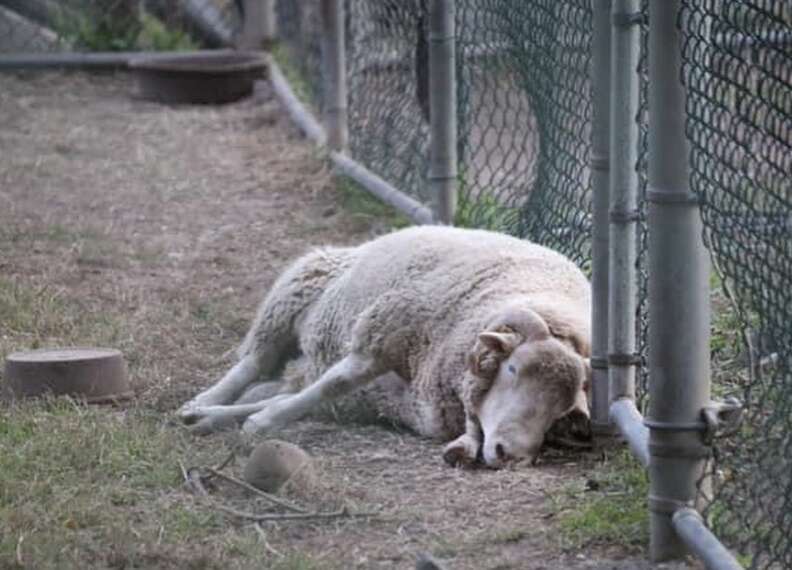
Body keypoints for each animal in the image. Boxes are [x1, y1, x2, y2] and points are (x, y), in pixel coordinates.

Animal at [178, 223, 588, 466]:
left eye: (563, 409)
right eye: (513, 368)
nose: (511, 455)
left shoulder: (386, 400)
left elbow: (311, 396)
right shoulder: (378, 336)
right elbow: (332, 385)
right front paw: (258, 423)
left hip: (306, 360)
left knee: (275, 383)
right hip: (292, 294)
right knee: (253, 362)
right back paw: (203, 400)